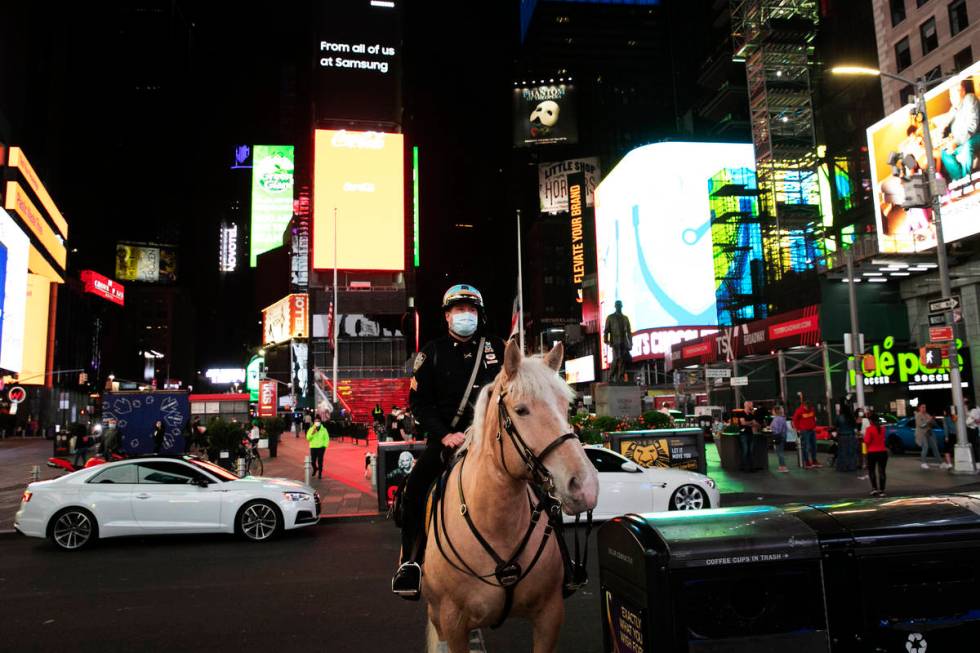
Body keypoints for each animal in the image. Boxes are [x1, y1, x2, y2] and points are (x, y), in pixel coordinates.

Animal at [422, 342, 596, 652]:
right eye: (521, 410)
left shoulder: (549, 615)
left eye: (566, 407)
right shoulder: (452, 622)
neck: (497, 523)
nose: (585, 486)